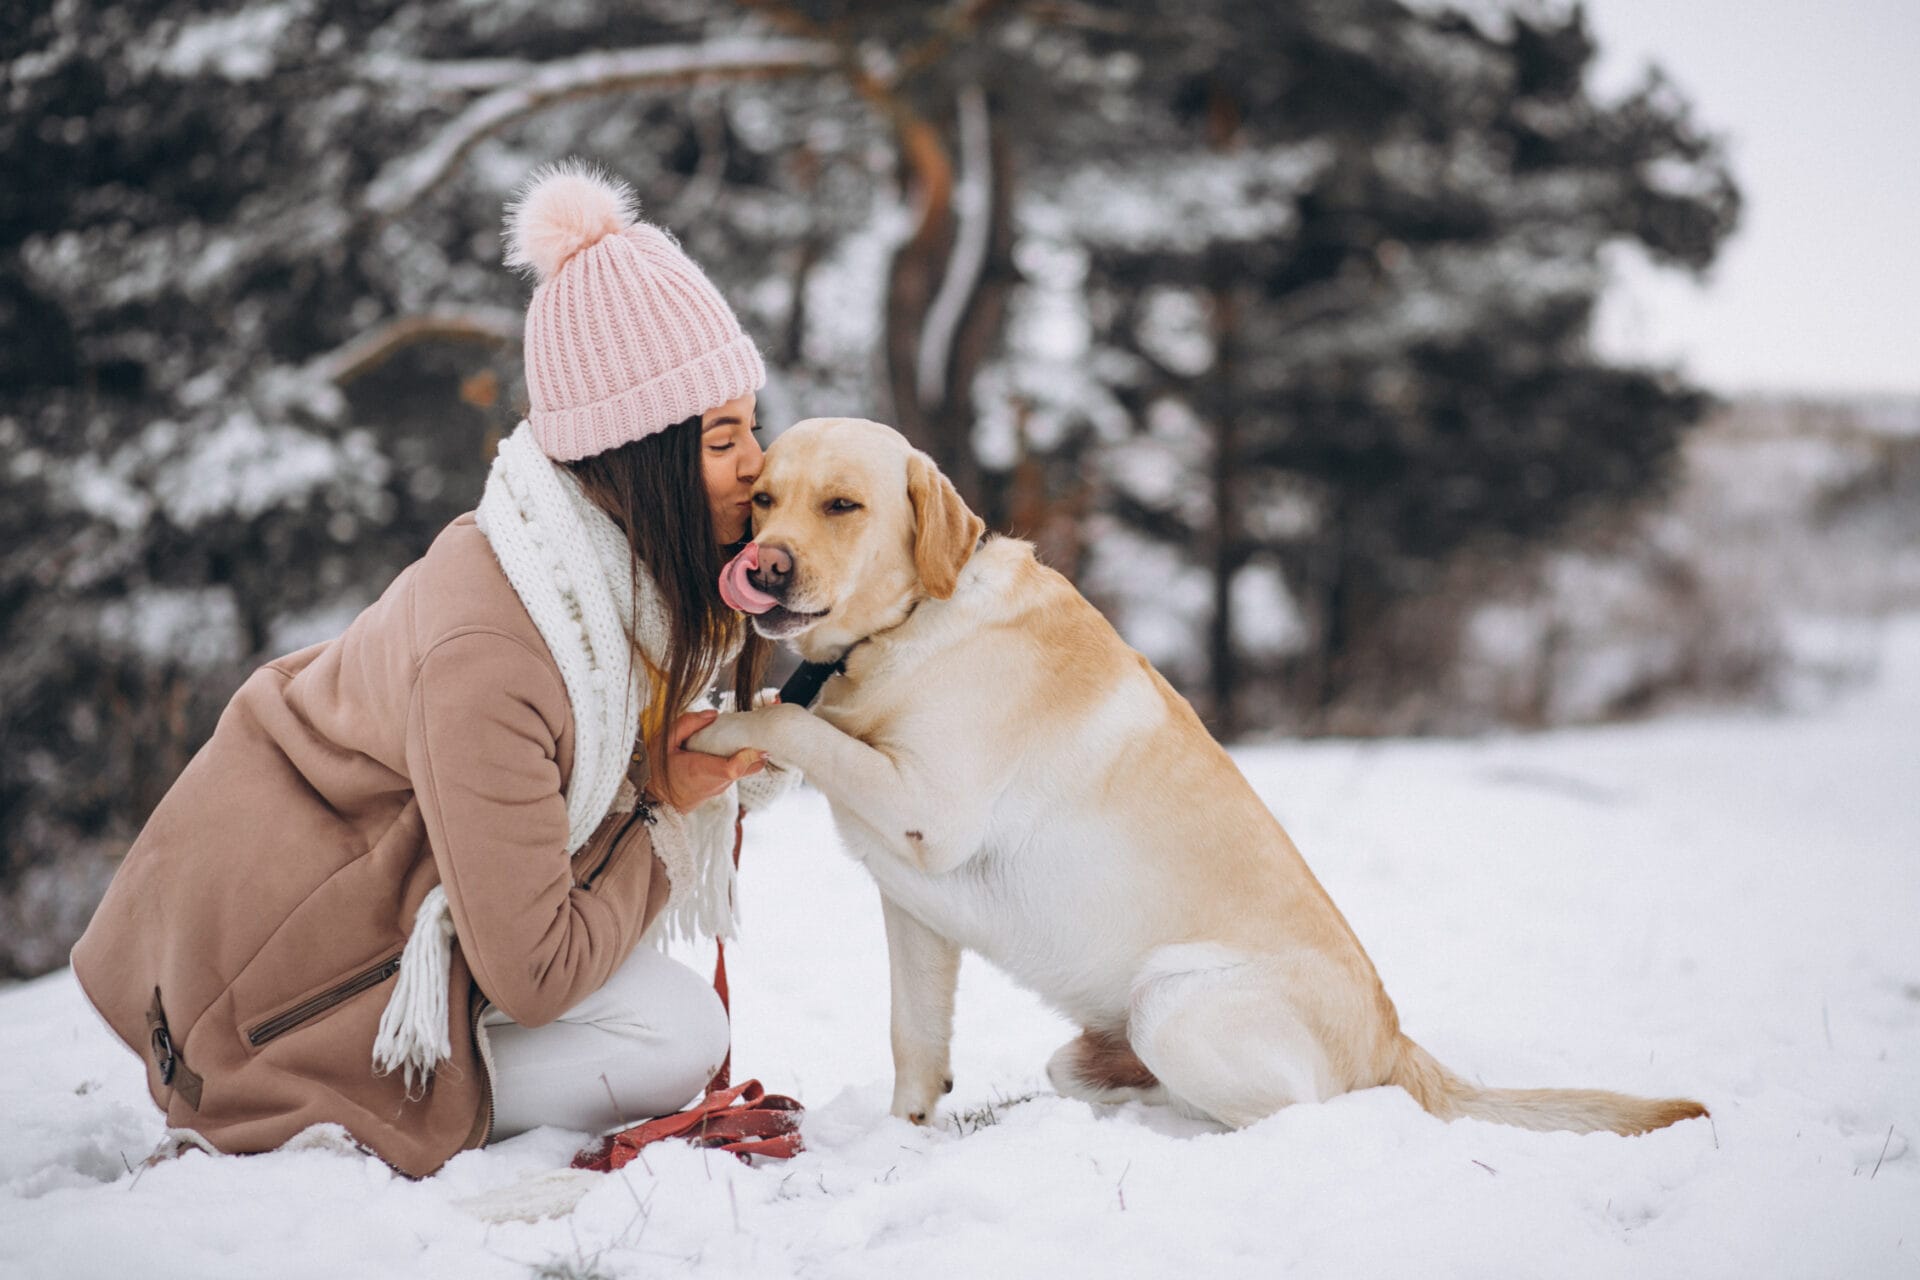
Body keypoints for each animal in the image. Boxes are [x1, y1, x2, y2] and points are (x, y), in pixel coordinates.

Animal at [683, 416, 1704, 1136]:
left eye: (842, 506)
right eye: (764, 499)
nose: (760, 567)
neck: (899, 633)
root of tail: (1395, 1042)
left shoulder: (932, 810)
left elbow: (787, 717)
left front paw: (714, 729)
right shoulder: (915, 911)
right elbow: (914, 1041)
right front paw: (903, 1137)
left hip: (1173, 1004)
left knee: (1299, 1118)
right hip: (1113, 1037)